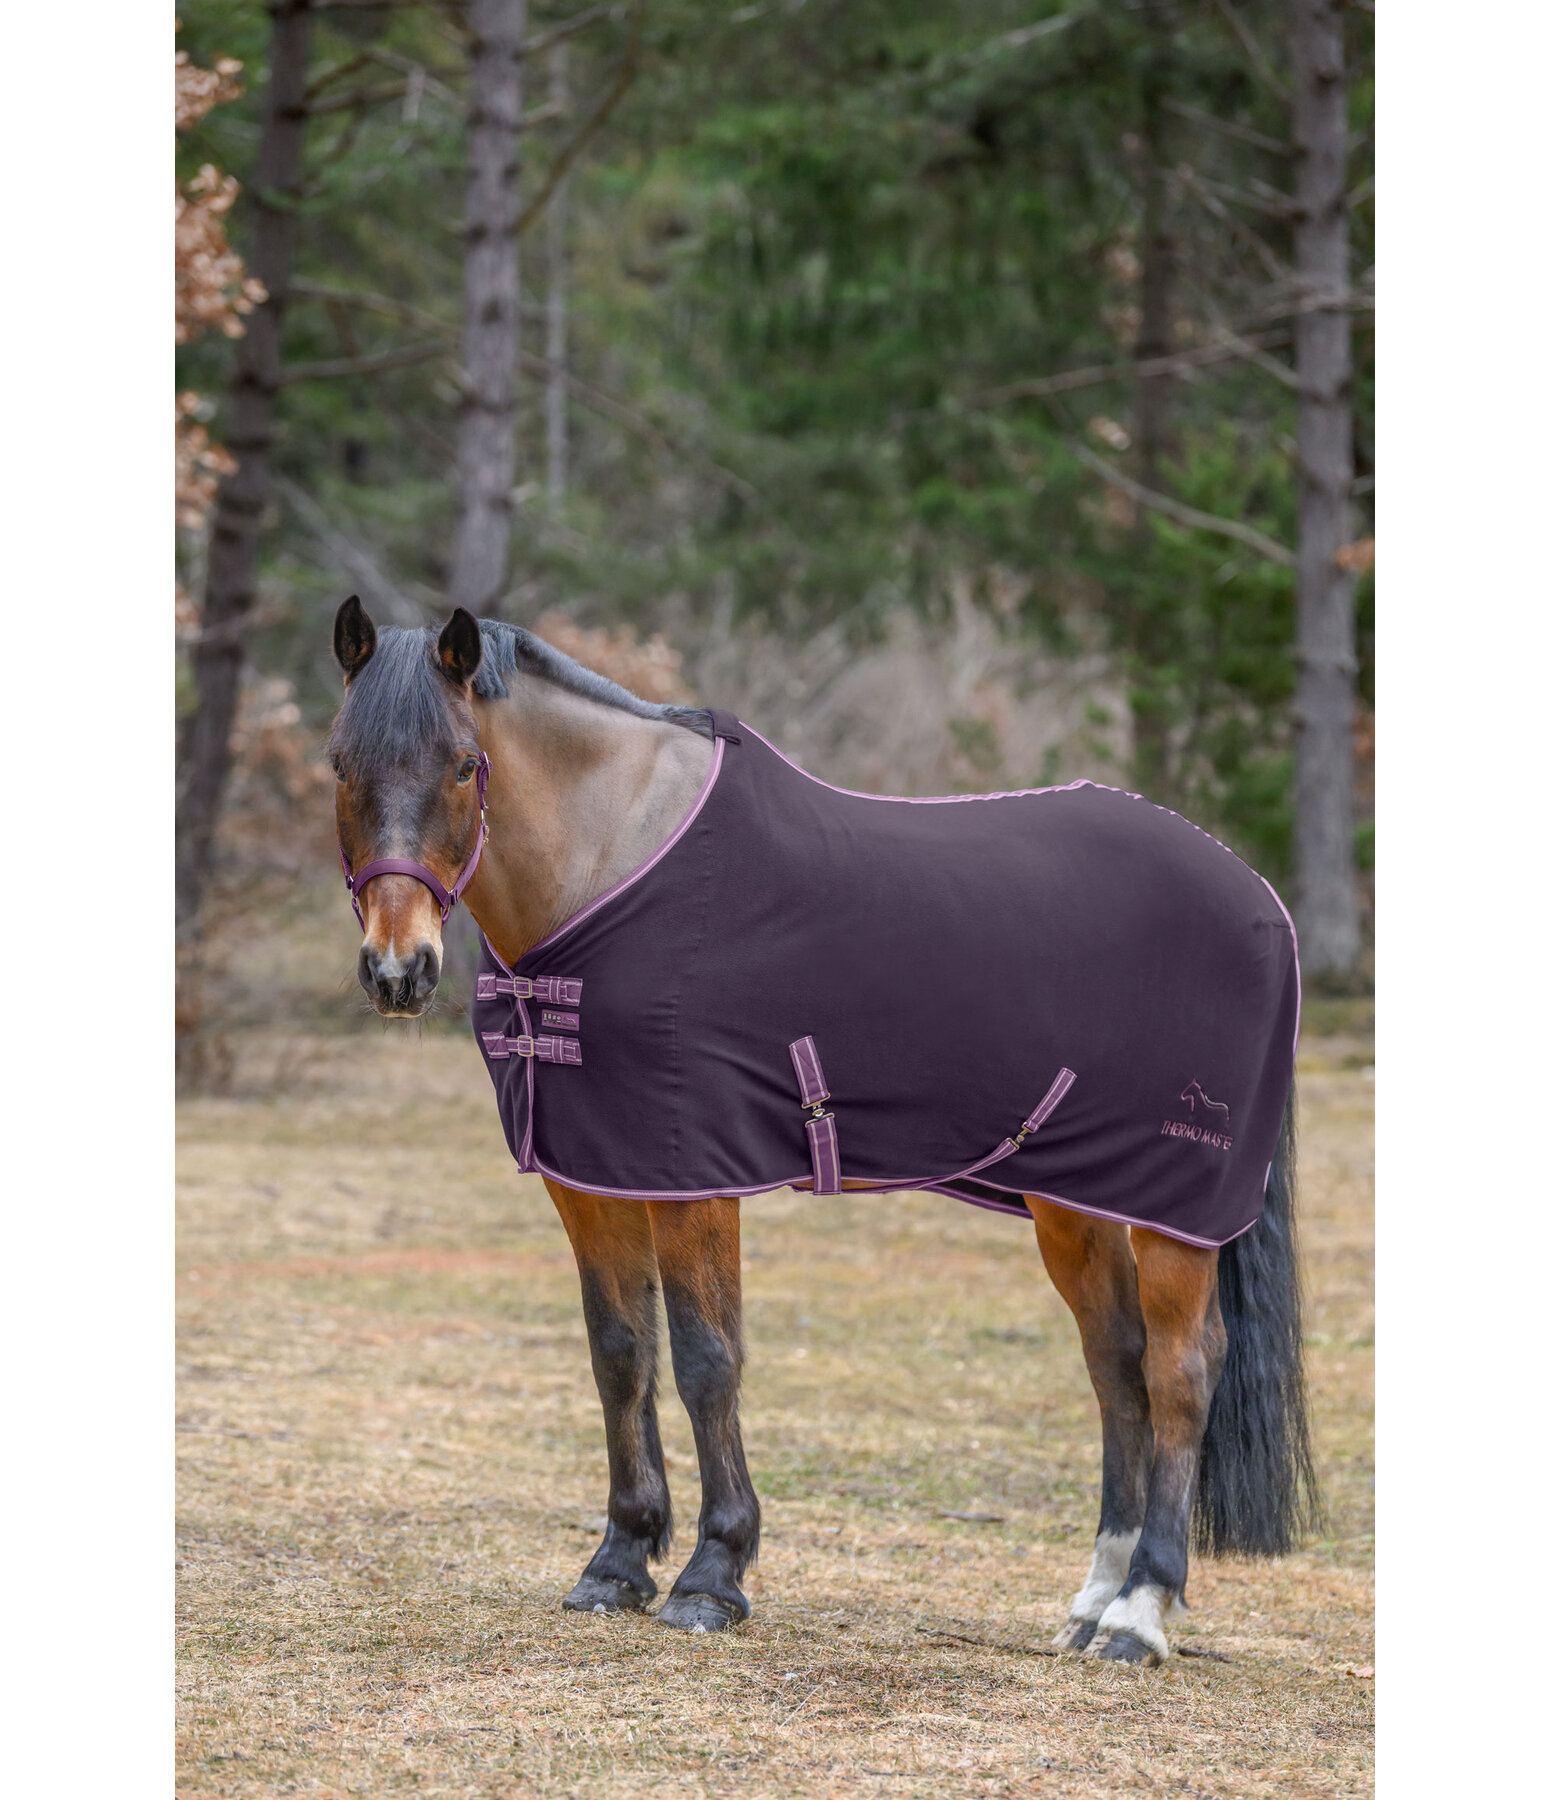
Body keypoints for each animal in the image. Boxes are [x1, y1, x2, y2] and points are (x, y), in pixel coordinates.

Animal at [327, 596, 1318, 1664]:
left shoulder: (693, 1176)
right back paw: (1095, 1601)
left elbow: (707, 1361)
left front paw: (712, 1575)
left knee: (1182, 1371)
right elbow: (619, 1355)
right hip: (1074, 1203)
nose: (398, 970)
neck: (616, 867)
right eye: (340, 763)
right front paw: (619, 1563)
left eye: (466, 763)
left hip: (1176, 1209)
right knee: (1117, 1367)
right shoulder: (591, 1176)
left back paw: (1142, 1612)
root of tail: (1258, 895)